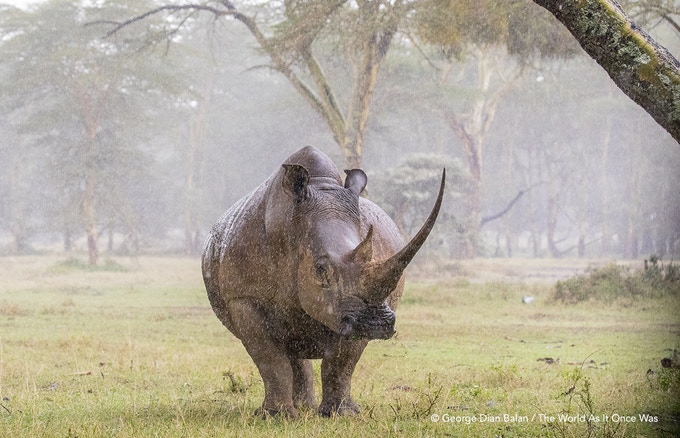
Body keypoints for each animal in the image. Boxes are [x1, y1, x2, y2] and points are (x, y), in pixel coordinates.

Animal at [202, 145, 444, 417]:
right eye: (320, 270)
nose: (377, 323)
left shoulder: (350, 314)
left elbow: (342, 362)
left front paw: (341, 415)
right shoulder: (243, 298)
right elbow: (270, 358)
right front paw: (275, 417)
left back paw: (305, 407)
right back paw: (299, 408)